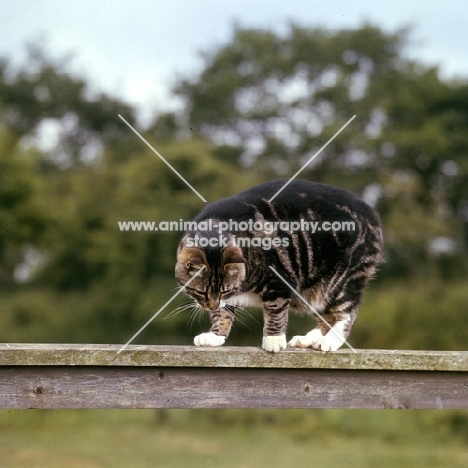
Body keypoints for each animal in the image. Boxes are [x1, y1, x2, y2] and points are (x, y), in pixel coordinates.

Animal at [174, 178, 382, 352]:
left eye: (225, 290)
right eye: (201, 292)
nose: (211, 305)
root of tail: (371, 212)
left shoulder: (279, 279)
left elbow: (275, 309)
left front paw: (273, 339)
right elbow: (222, 313)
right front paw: (215, 335)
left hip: (340, 280)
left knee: (347, 313)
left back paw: (329, 341)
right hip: (312, 292)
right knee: (328, 316)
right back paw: (307, 339)